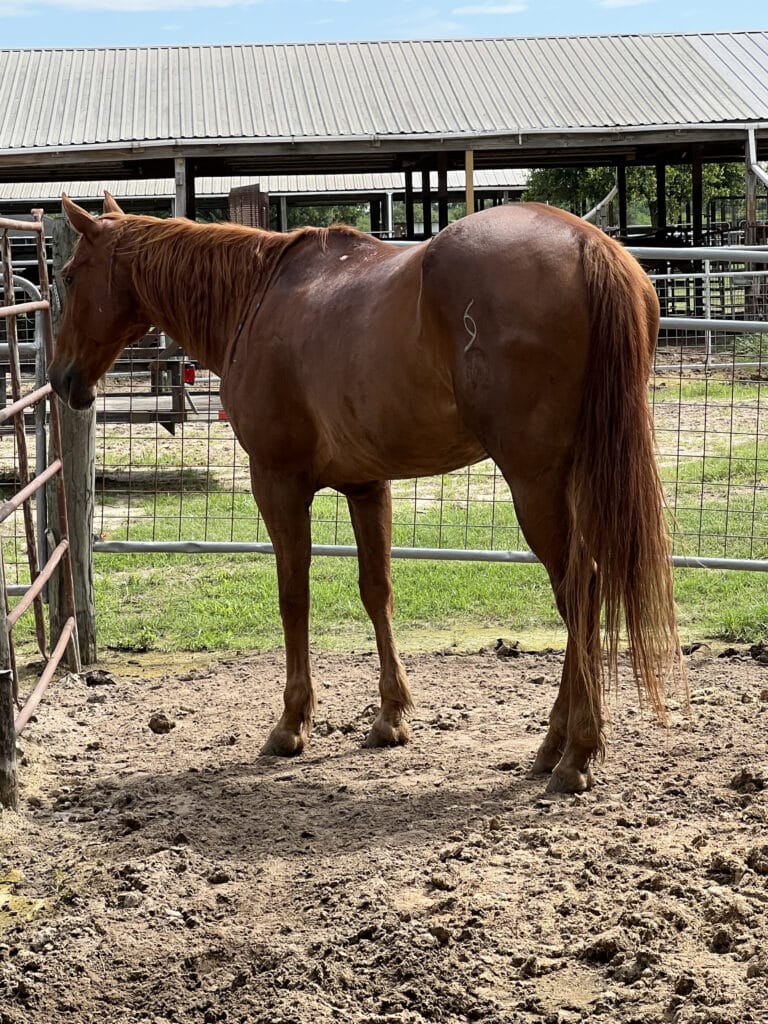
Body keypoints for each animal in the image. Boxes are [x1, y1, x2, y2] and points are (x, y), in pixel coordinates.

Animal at [50, 192, 682, 794]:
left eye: (71, 276)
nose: (62, 380)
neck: (258, 298)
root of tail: (587, 244)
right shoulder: (366, 486)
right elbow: (377, 592)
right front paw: (391, 716)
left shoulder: (277, 482)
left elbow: (294, 596)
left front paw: (292, 724)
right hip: (575, 479)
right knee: (584, 593)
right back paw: (553, 744)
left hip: (536, 483)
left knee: (580, 589)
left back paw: (576, 753)